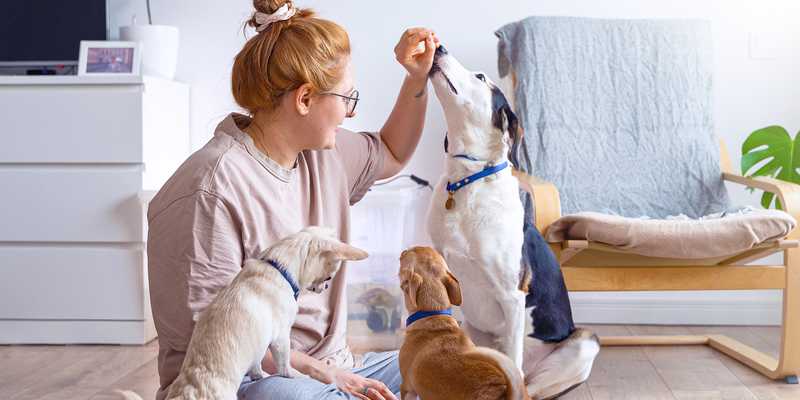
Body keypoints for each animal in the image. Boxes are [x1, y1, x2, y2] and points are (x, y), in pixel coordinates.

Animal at [119, 227, 368, 398]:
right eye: (329, 275)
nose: (325, 287)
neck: (277, 268)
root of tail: (189, 389)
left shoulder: (259, 347)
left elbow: (257, 366)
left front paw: (261, 375)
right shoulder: (280, 338)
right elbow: (285, 364)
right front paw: (294, 375)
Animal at [428, 45, 596, 398]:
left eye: (480, 77)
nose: (439, 47)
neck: (467, 181)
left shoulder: (512, 295)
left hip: (585, 341)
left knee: (528, 384)